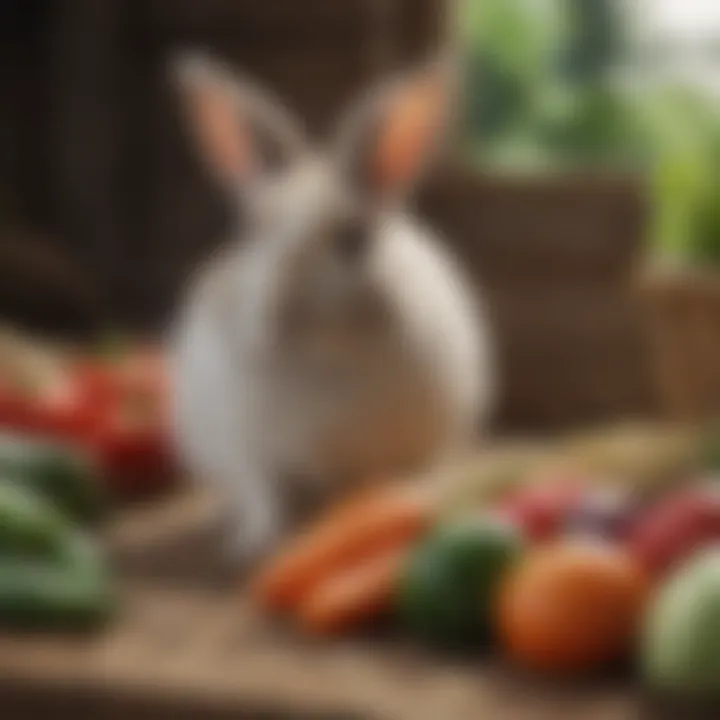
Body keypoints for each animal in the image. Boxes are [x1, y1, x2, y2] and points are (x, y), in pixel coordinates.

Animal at [167, 50, 496, 564]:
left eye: (353, 240)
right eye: (253, 232)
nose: (279, 316)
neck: (319, 363)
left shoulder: (381, 456)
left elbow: (366, 491)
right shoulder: (251, 452)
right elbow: (267, 495)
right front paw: (256, 544)